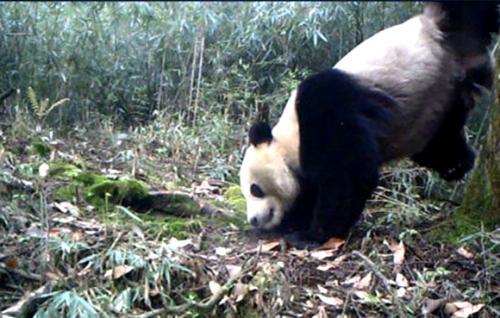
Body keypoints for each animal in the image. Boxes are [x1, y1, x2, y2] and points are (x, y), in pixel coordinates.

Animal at [238, 1, 500, 248]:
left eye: (255, 189)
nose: (254, 220)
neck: (290, 137)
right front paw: (296, 221)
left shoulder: (325, 110)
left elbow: (349, 175)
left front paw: (309, 235)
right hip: (440, 103)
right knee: (440, 140)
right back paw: (458, 164)